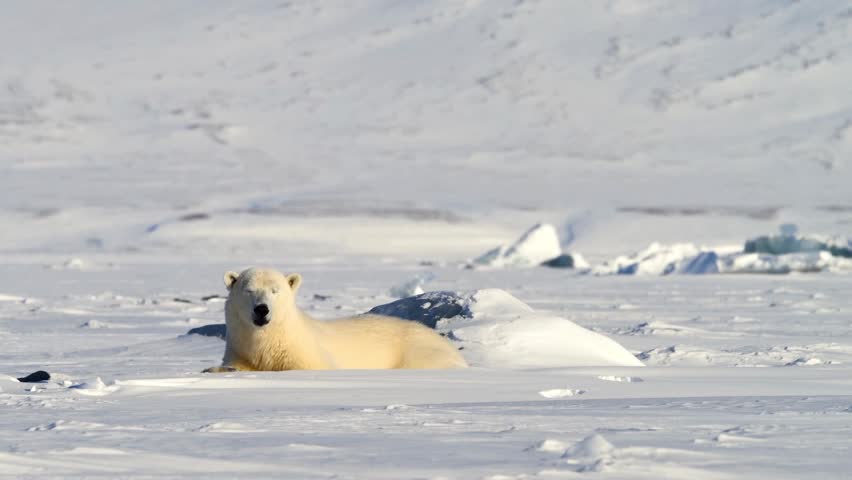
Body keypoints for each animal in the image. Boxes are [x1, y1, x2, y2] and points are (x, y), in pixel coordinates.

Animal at [204, 267, 468, 372]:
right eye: (249, 290)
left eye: (275, 290)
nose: (262, 309)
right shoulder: (241, 349)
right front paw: (214, 369)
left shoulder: (310, 355)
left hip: (418, 350)